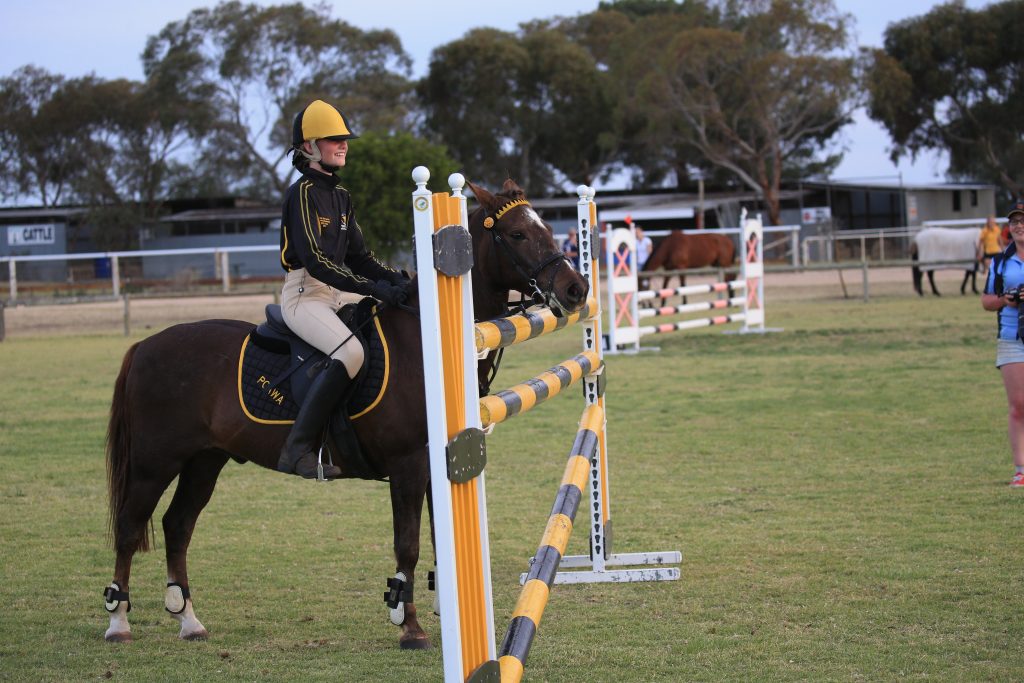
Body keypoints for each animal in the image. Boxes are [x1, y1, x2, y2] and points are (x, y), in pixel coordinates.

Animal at [102, 178, 588, 649]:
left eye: (547, 226)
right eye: (517, 234)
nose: (576, 289)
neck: (426, 341)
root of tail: (144, 346)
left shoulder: (438, 466)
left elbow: (436, 539)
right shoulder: (408, 465)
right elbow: (407, 545)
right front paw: (409, 626)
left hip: (205, 460)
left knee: (177, 525)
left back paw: (188, 620)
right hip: (154, 462)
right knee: (129, 527)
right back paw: (118, 622)